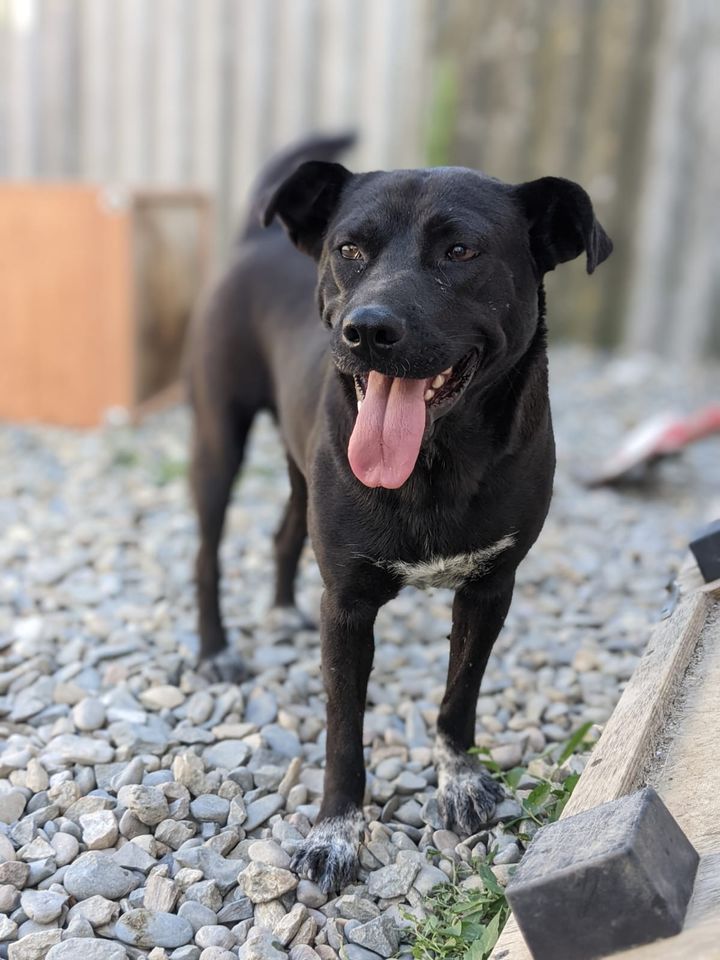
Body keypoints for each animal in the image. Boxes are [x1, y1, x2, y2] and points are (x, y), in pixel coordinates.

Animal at [184, 133, 608, 892]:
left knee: (285, 532)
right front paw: (335, 834)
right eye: (350, 249)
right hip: (216, 438)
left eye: (461, 251)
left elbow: (459, 697)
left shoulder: (490, 588)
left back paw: (283, 609)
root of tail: (258, 241)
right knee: (207, 554)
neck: (434, 462)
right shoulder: (349, 605)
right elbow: (344, 735)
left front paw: (458, 780)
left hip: (300, 466)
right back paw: (215, 648)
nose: (368, 331)